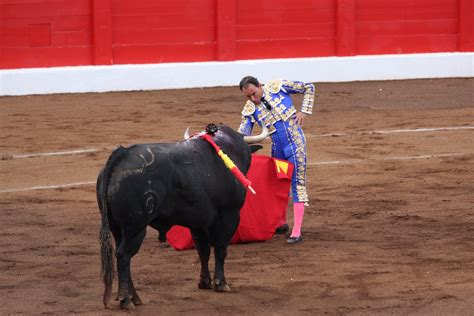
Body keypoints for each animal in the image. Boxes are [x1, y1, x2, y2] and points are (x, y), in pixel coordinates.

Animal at [96, 124, 266, 308]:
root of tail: (122, 154)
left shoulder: (199, 222)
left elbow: (203, 250)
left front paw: (204, 282)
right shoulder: (229, 215)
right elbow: (221, 249)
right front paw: (220, 283)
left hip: (117, 228)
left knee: (121, 254)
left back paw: (135, 297)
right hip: (135, 228)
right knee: (124, 256)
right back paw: (126, 299)